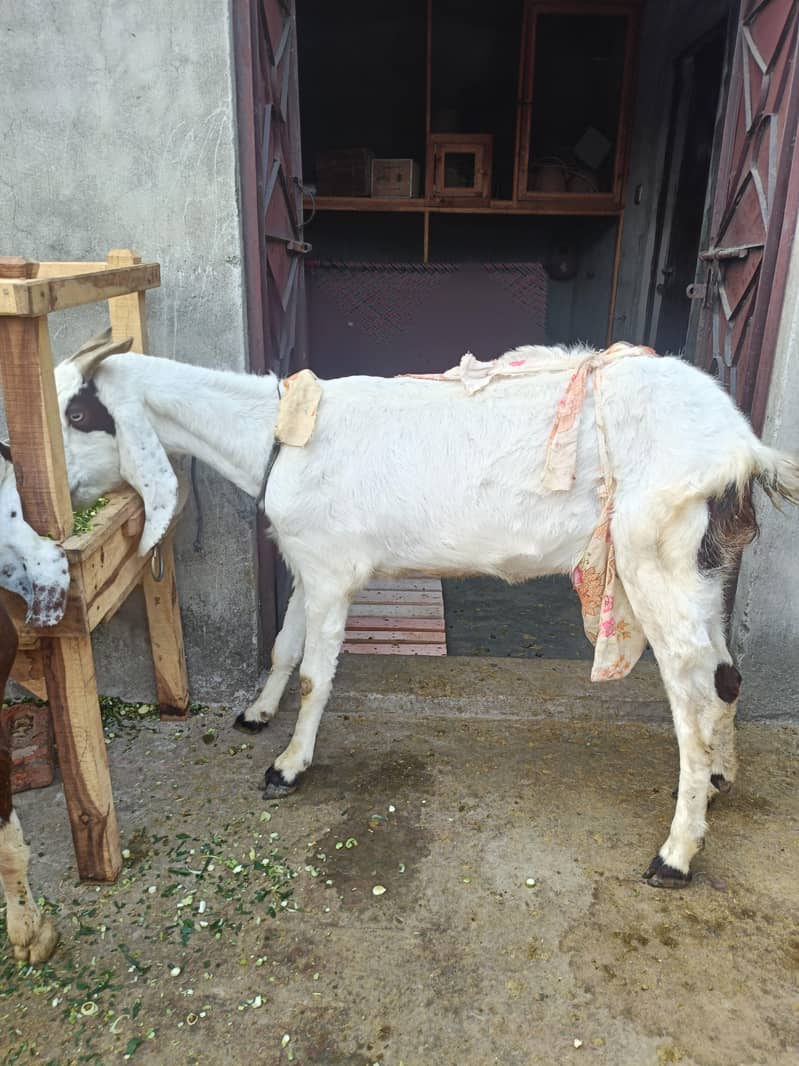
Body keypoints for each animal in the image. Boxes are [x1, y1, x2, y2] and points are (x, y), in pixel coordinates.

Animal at [53, 337, 799, 888]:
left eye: (79, 414)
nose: (49, 493)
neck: (278, 433)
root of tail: (740, 446)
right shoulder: (306, 561)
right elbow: (284, 647)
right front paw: (257, 714)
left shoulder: (332, 573)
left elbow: (315, 677)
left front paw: (287, 767)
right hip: (704, 570)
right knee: (724, 675)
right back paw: (718, 778)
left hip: (655, 560)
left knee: (691, 694)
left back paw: (676, 851)